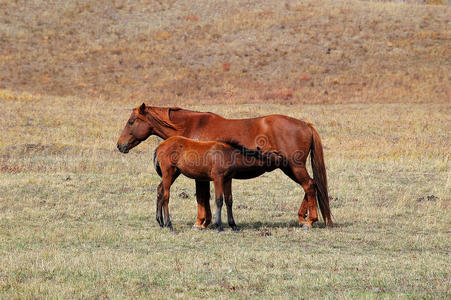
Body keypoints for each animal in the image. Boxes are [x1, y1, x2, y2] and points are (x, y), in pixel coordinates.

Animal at [118, 103, 334, 227]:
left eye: (131, 121)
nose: (120, 145)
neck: (192, 127)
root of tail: (305, 124)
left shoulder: (204, 176)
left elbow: (202, 197)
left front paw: (202, 223)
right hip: (289, 168)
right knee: (311, 186)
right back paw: (302, 217)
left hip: (295, 166)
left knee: (309, 186)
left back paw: (310, 221)